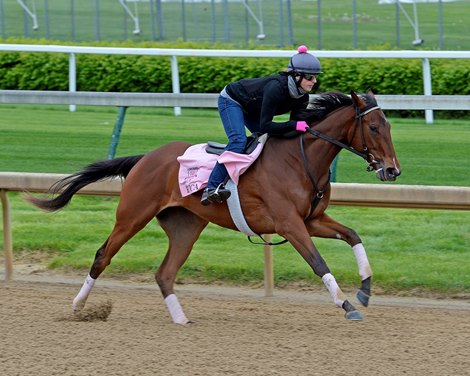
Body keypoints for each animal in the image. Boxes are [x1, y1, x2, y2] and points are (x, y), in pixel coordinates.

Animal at [27, 91, 400, 324]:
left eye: (389, 125)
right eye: (373, 126)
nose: (393, 170)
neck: (300, 160)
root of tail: (145, 157)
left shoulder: (312, 219)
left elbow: (353, 235)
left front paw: (365, 291)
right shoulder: (289, 224)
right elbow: (318, 262)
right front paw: (347, 304)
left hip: (186, 226)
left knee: (165, 273)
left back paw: (180, 319)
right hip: (132, 215)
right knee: (103, 254)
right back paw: (79, 306)